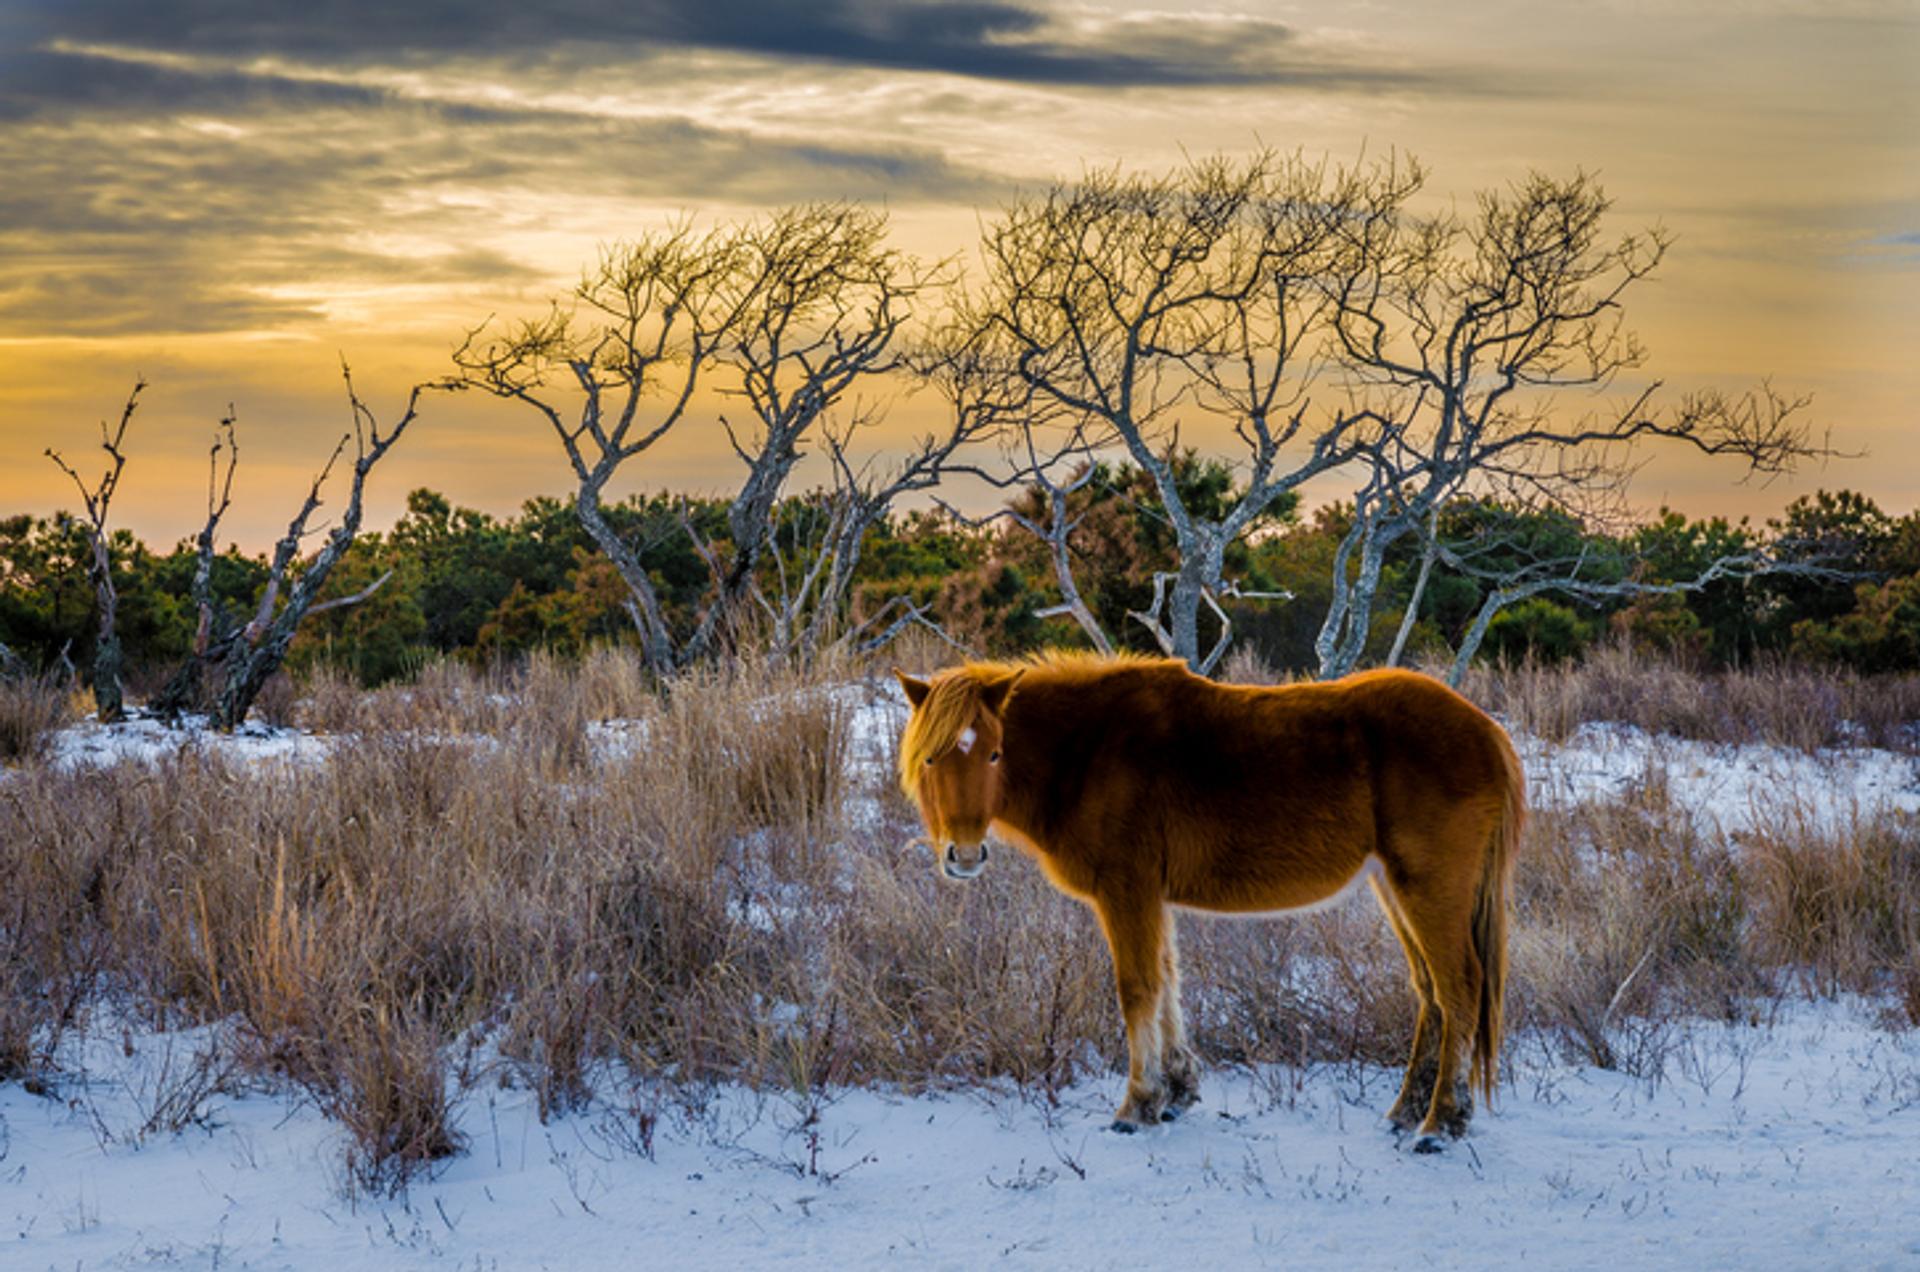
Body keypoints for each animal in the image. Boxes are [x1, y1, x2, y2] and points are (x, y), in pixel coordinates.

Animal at [893, 651, 1524, 1152]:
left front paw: (1137, 1106)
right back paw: (1405, 1113)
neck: (1090, 751)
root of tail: (1485, 732)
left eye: (994, 754)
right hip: (1395, 888)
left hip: (1430, 889)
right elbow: (1168, 982)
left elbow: (1138, 989)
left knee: (1459, 989)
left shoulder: (1126, 891)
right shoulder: (1151, 899)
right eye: (931, 758)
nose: (964, 855)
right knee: (1431, 992)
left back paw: (1440, 1125)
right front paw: (1176, 1091)